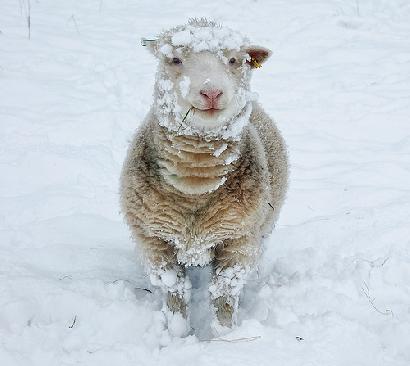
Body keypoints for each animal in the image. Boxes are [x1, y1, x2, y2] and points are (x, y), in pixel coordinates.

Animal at [120, 18, 288, 336]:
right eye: (175, 59)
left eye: (234, 60)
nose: (211, 93)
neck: (195, 184)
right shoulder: (154, 241)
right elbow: (175, 291)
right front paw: (177, 332)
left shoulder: (237, 242)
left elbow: (224, 294)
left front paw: (226, 335)